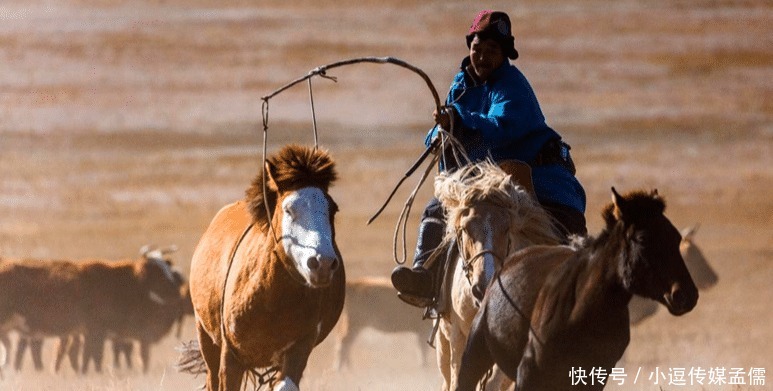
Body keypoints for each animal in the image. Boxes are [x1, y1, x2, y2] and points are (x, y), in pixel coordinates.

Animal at [184, 145, 344, 391]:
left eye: (332, 209)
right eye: (288, 209)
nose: (322, 263)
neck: (269, 298)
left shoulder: (297, 349)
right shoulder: (230, 356)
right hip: (206, 337)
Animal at [456, 188, 696, 390]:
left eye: (676, 237)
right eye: (642, 239)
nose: (686, 294)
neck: (580, 309)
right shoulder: (528, 373)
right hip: (474, 352)